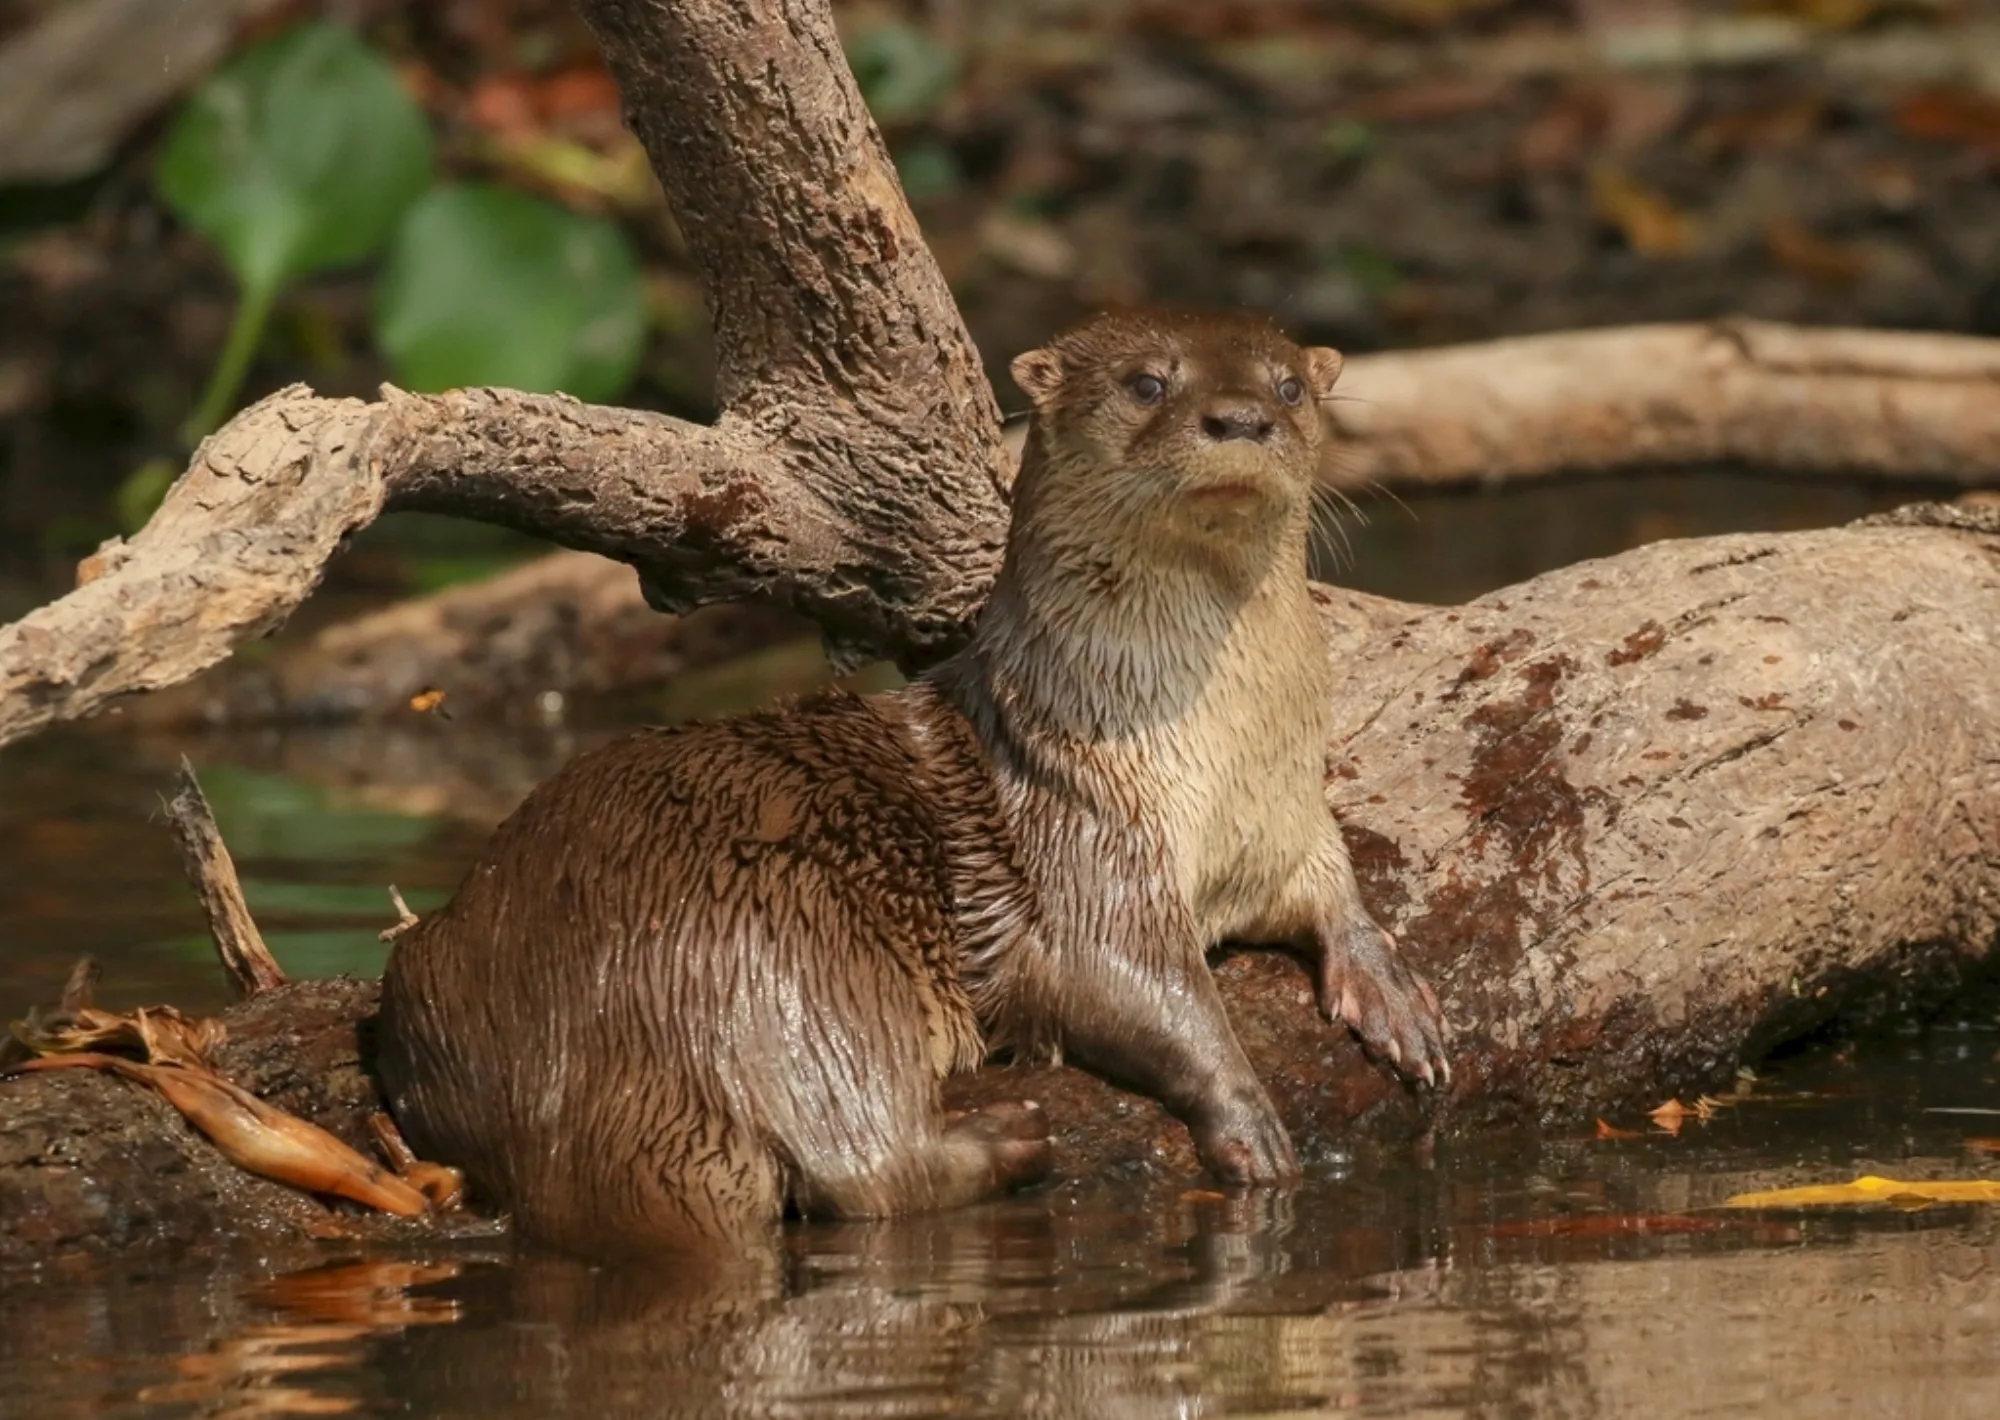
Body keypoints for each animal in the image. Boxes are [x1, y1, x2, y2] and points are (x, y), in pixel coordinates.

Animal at [377, 309, 1450, 1259]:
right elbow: (1129, 981)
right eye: (1147, 382)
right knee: (860, 1162)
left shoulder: (1285, 816)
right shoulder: (1087, 834)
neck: (1216, 760)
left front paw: (1388, 984)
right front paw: (1246, 1112)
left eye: (1290, 386)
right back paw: (1009, 1139)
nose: (1241, 419)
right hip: (802, 952)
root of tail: (567, 1070)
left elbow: (1333, 885)